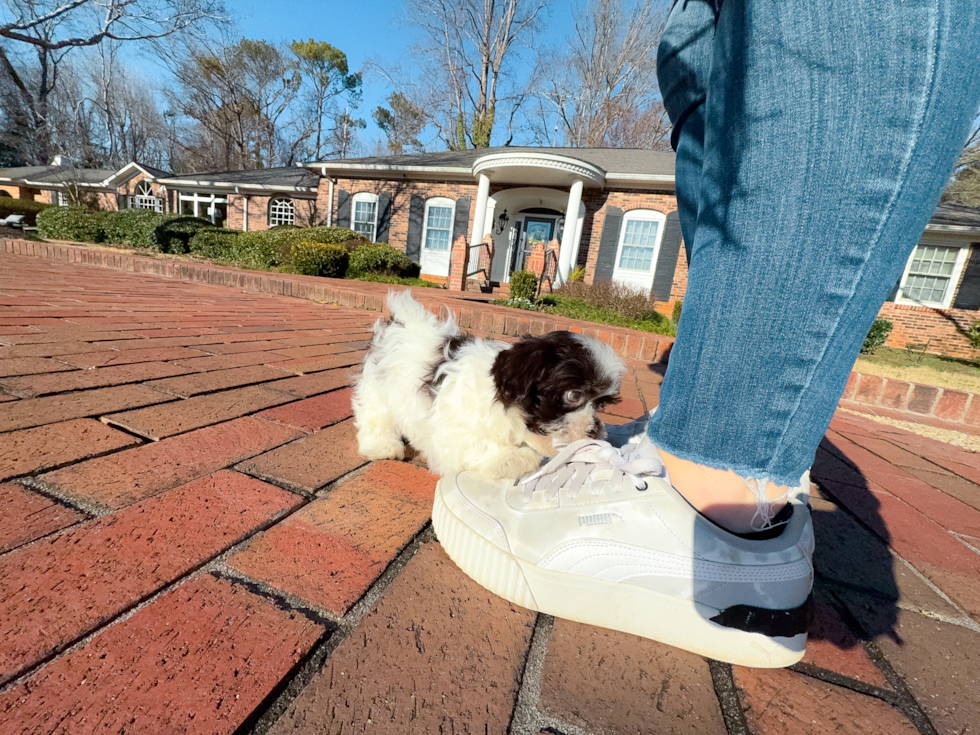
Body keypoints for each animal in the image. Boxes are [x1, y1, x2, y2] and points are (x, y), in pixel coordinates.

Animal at [352, 290, 624, 480]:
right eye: (574, 395)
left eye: (601, 404)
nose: (594, 431)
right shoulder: (453, 436)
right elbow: (477, 448)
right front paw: (517, 457)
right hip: (377, 385)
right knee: (374, 414)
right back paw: (382, 445)